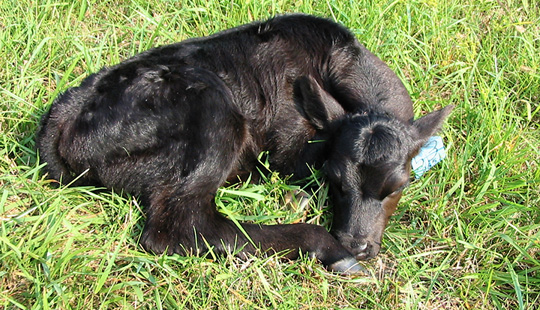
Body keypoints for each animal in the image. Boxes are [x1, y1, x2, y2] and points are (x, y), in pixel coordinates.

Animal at [35, 14, 454, 274]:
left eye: (398, 186)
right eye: (334, 179)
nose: (356, 243)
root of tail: (65, 111)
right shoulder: (289, 146)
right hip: (214, 109)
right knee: (179, 228)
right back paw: (324, 246)